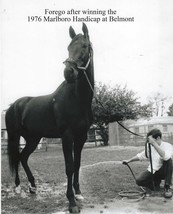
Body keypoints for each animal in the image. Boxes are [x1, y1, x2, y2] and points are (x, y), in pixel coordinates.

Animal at [5, 22, 94, 213]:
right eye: (68, 47)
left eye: (84, 46)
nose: (69, 72)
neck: (77, 98)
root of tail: (14, 105)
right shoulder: (67, 136)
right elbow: (69, 167)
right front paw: (71, 202)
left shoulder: (81, 137)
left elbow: (77, 164)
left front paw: (78, 193)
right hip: (15, 136)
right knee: (16, 158)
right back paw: (18, 187)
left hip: (33, 138)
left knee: (23, 157)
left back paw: (32, 187)